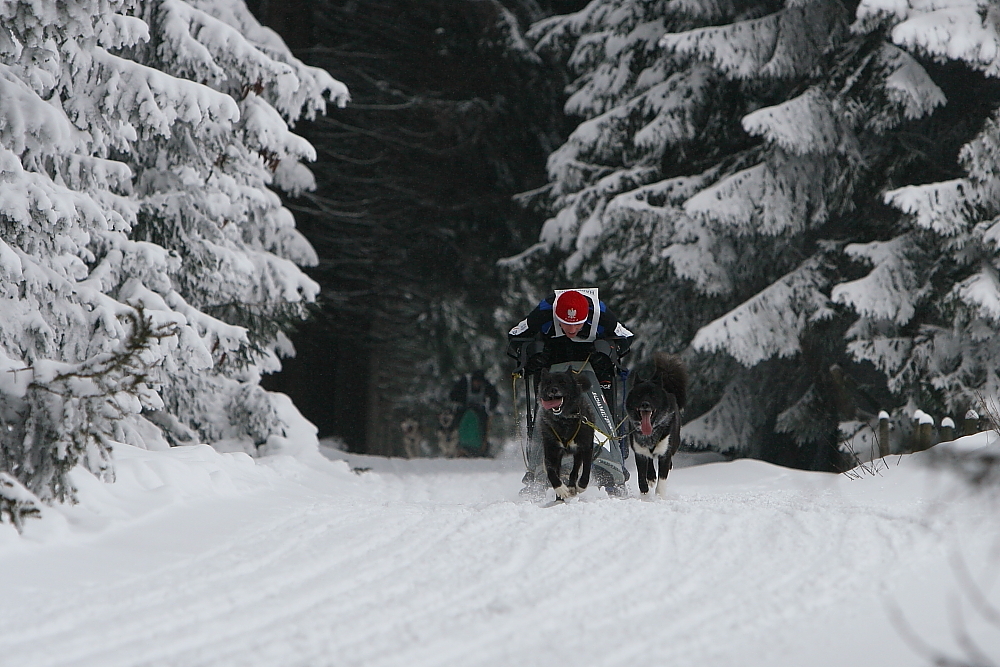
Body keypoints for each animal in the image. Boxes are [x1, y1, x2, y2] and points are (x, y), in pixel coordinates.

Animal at [540, 368, 592, 504]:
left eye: (563, 382)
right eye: (548, 382)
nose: (553, 389)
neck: (564, 421)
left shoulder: (586, 447)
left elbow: (586, 469)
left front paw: (581, 486)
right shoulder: (551, 451)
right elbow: (551, 472)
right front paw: (560, 489)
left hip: (578, 453)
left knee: (575, 469)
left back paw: (573, 486)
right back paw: (560, 498)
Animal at [624, 354, 688, 496]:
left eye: (653, 395)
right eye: (639, 394)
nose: (645, 404)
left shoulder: (665, 453)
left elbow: (662, 480)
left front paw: (659, 497)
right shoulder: (639, 452)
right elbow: (641, 479)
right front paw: (645, 496)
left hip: (675, 443)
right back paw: (651, 477)